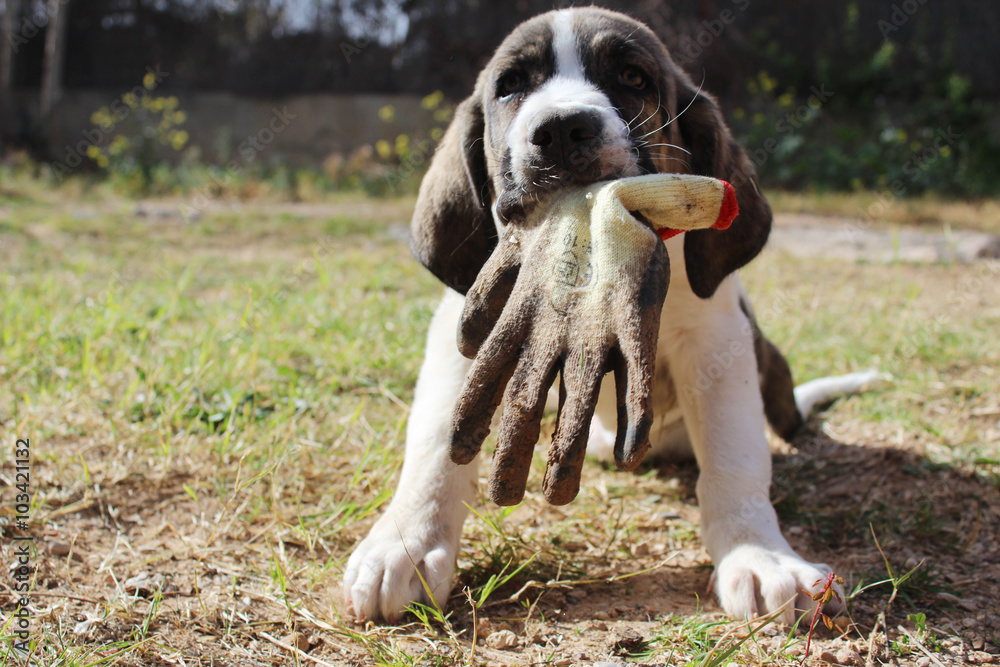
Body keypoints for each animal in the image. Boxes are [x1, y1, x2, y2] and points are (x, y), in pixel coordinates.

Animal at [340, 6, 872, 628]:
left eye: (632, 78)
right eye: (510, 87)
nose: (561, 128)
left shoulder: (718, 340)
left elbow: (735, 456)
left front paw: (760, 556)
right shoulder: (470, 336)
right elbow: (433, 446)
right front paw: (406, 542)